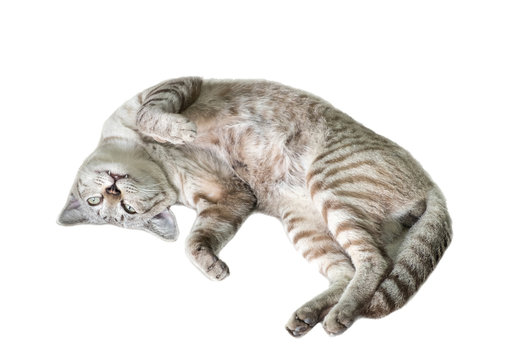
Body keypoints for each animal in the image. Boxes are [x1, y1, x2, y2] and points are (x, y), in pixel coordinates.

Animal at [58, 76, 454, 338]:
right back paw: (311, 315)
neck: (156, 161)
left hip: (329, 188)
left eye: (116, 207)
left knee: (374, 262)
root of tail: (433, 186)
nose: (114, 191)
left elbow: (149, 112)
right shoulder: (231, 196)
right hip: (306, 224)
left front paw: (179, 129)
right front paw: (212, 267)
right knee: (351, 270)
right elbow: (194, 241)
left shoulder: (179, 84)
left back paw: (336, 315)